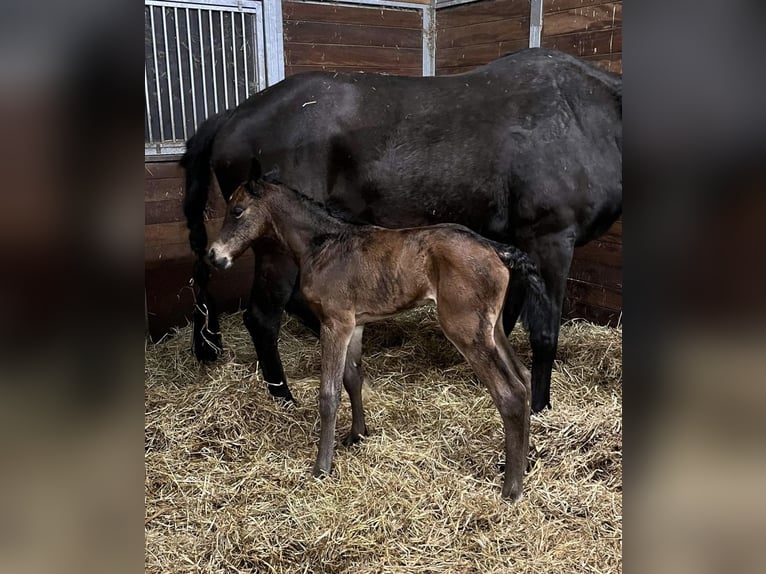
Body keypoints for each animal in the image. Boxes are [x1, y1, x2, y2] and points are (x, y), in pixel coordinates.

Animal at [207, 173, 548, 502]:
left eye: (237, 211)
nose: (214, 256)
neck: (323, 245)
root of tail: (498, 249)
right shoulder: (354, 325)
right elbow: (352, 379)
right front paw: (357, 435)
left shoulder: (335, 323)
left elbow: (329, 394)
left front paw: (322, 467)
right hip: (492, 328)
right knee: (524, 377)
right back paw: (524, 464)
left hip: (465, 330)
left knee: (510, 393)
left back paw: (511, 489)